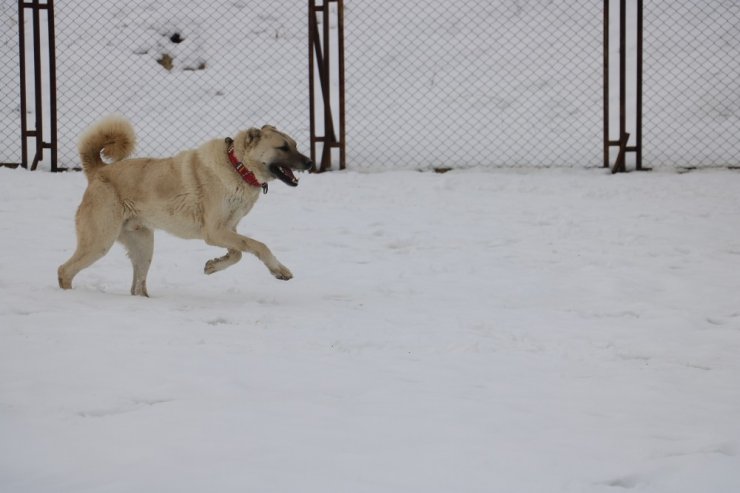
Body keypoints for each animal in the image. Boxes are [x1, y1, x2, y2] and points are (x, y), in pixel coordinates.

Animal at [57, 113, 312, 294]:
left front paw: (213, 265)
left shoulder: (228, 229)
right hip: (100, 241)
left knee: (137, 287)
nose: (309, 163)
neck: (237, 167)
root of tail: (99, 171)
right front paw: (279, 270)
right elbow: (258, 245)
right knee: (64, 271)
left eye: (295, 145)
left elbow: (238, 253)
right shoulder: (214, 231)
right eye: (283, 147)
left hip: (143, 245)